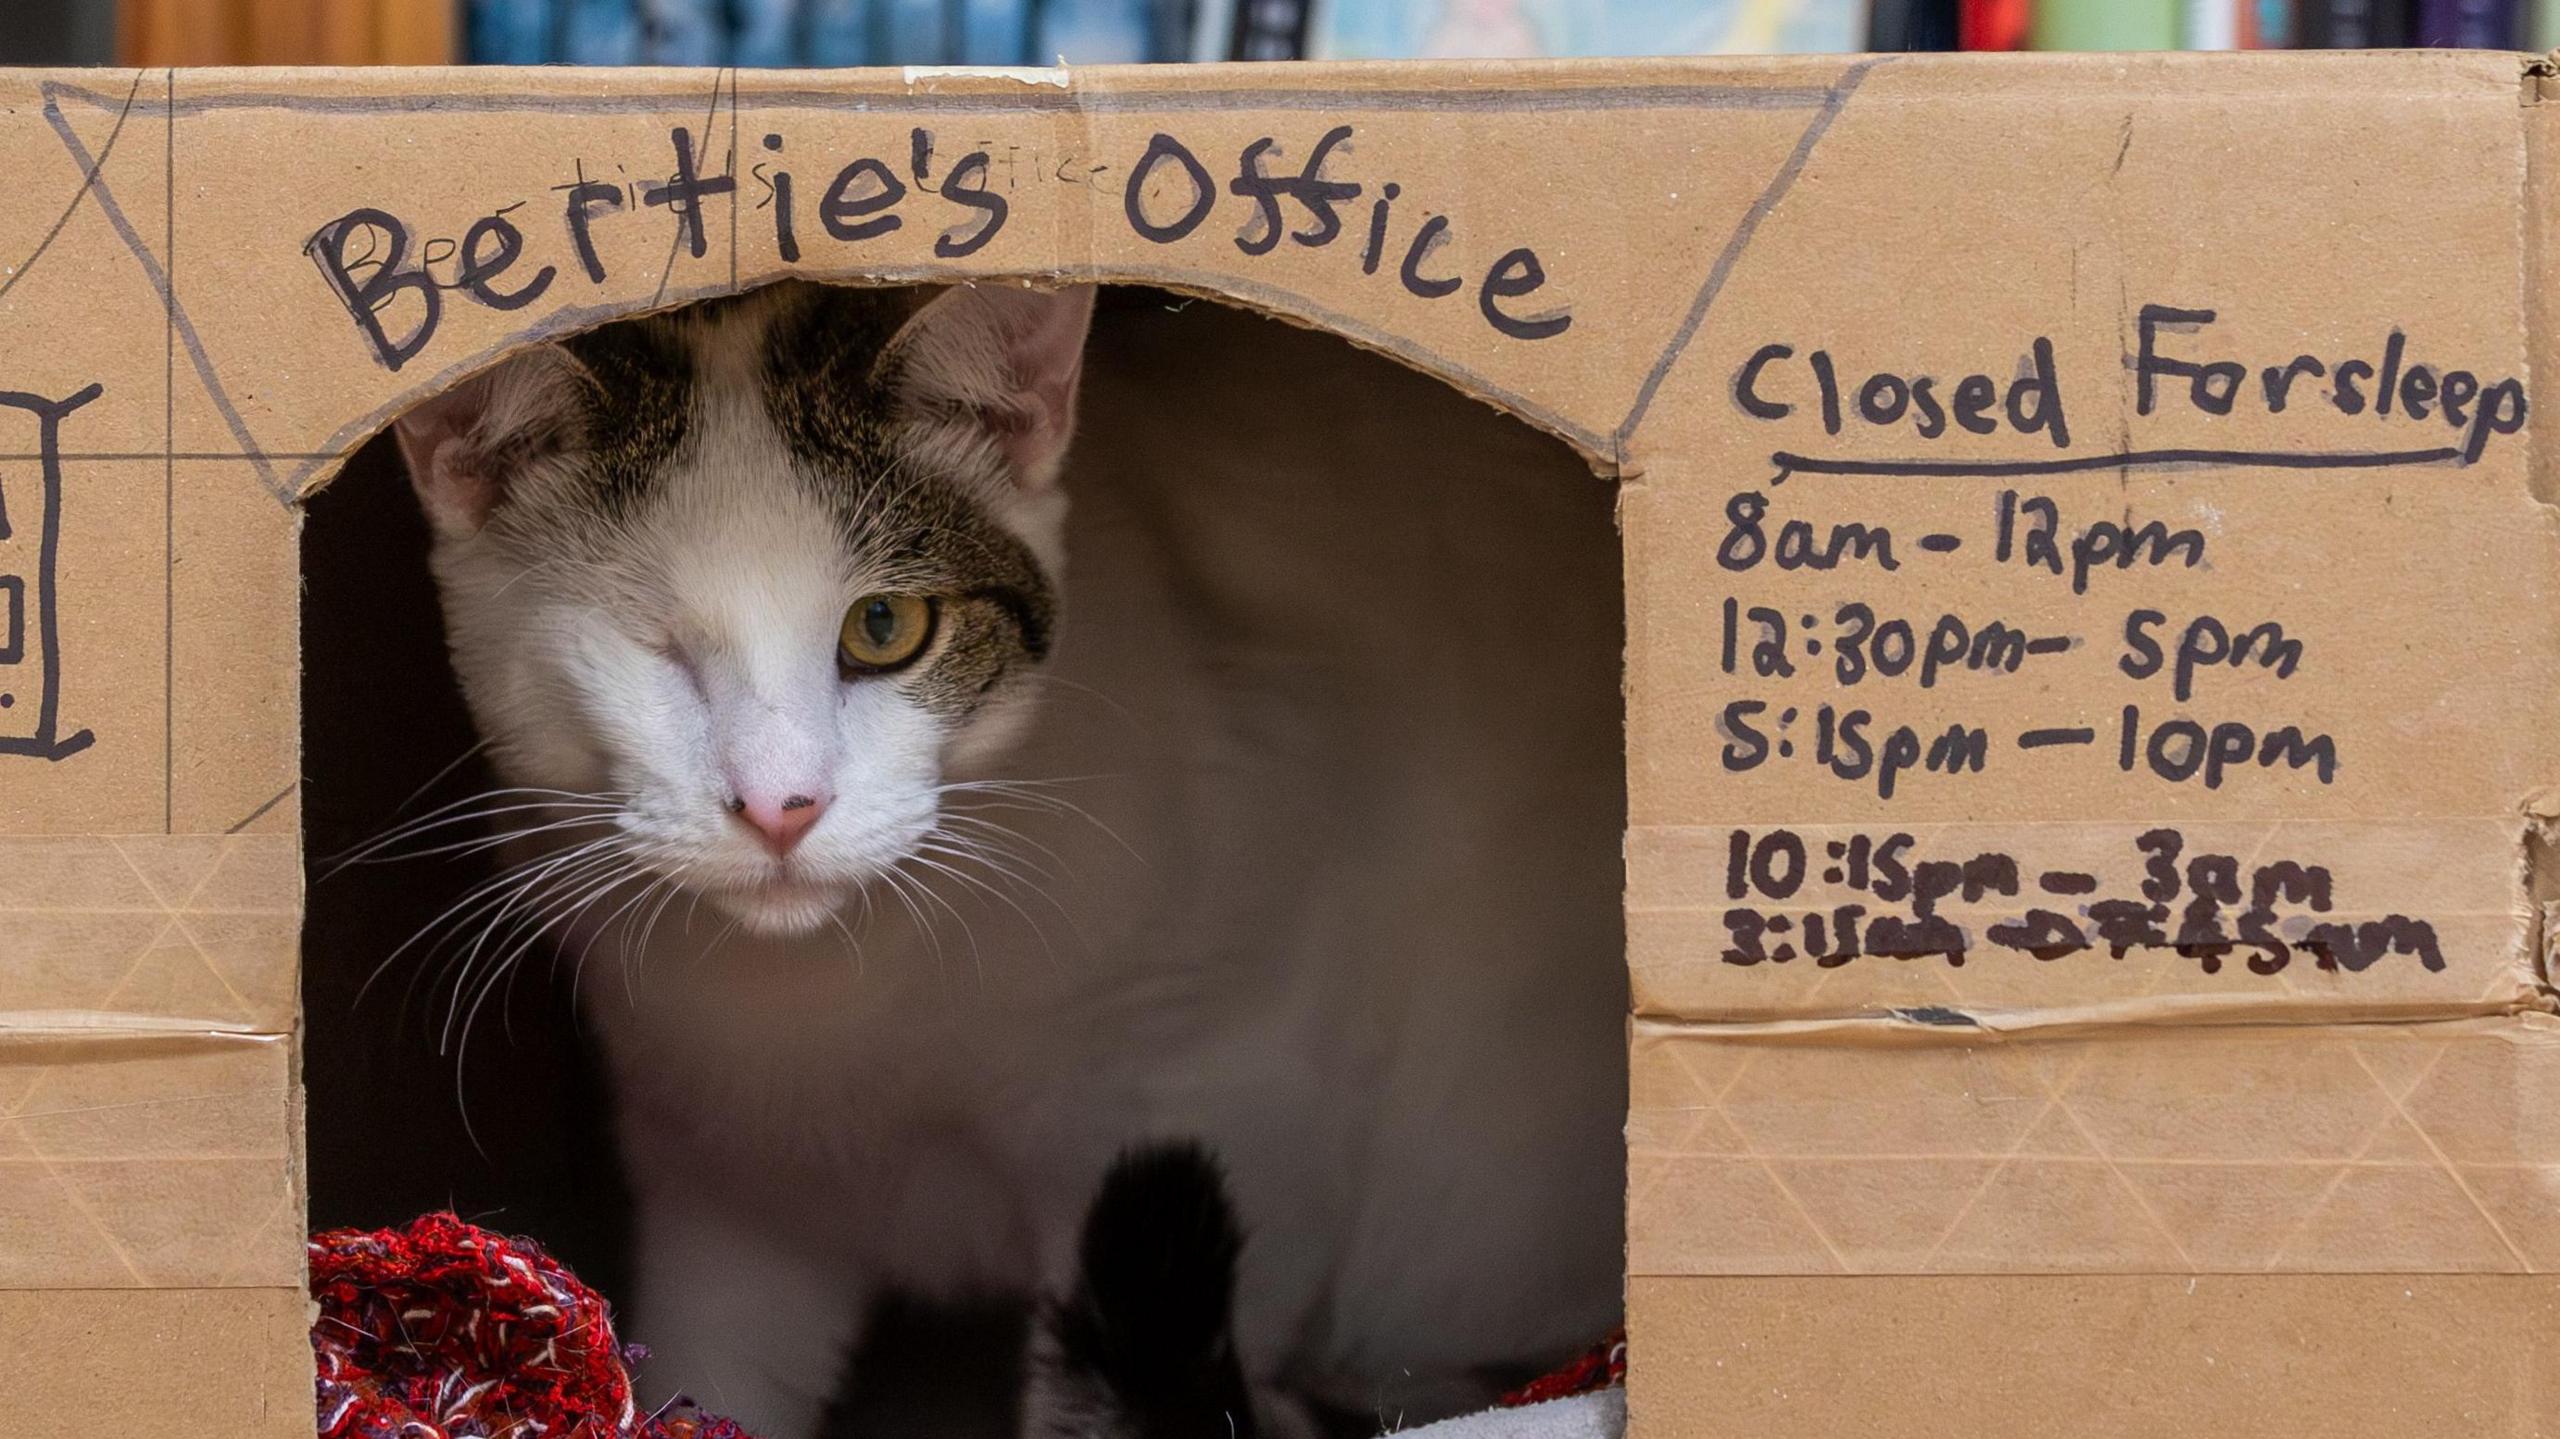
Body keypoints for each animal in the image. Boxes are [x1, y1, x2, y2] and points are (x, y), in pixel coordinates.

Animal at [389, 282, 1628, 1433]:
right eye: (652, 647)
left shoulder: (1219, 1098)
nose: (781, 805)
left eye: (883, 626)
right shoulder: (724, 1197)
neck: (826, 1003)